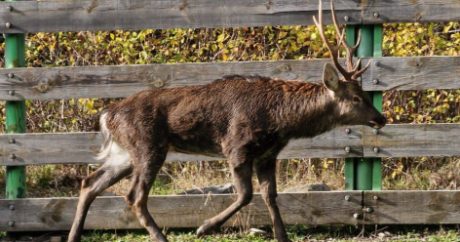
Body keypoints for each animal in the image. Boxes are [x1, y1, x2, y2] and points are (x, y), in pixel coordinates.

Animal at [67, 0, 384, 241]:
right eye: (356, 97)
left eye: (365, 94)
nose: (380, 118)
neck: (281, 122)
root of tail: (107, 115)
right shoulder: (236, 146)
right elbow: (245, 195)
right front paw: (203, 227)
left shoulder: (268, 155)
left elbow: (271, 197)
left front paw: (282, 237)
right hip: (148, 146)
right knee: (134, 196)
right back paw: (161, 237)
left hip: (125, 153)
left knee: (90, 183)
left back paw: (74, 235)